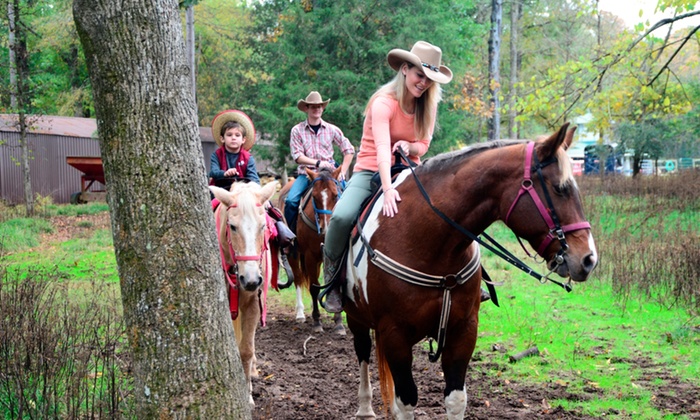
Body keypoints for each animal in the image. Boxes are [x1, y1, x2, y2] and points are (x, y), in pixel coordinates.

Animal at [209, 181, 278, 406]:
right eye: (232, 226)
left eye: (263, 226)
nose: (251, 280)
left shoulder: (254, 303)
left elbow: (246, 350)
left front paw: (247, 395)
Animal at [278, 166, 346, 334]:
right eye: (314, 197)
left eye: (336, 195)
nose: (326, 228)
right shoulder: (310, 256)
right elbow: (314, 287)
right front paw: (317, 322)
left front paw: (339, 322)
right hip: (294, 254)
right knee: (297, 278)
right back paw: (300, 313)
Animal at [342, 123, 600, 418]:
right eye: (560, 188)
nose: (588, 259)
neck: (427, 242)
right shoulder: (395, 335)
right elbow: (406, 400)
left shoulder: (464, 332)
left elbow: (455, 399)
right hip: (357, 319)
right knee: (363, 352)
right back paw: (365, 408)